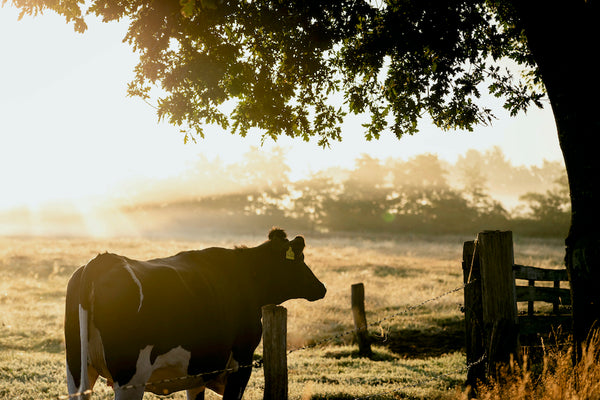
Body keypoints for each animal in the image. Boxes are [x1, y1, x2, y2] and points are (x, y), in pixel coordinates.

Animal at [63, 228, 326, 400]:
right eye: (300, 259)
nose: (321, 288)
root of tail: (103, 260)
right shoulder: (241, 363)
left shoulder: (199, 370)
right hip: (130, 378)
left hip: (77, 371)